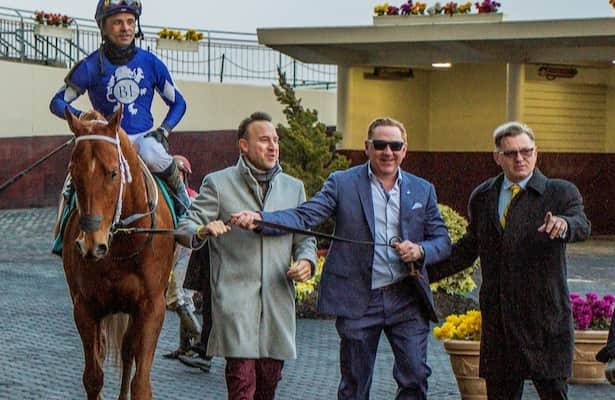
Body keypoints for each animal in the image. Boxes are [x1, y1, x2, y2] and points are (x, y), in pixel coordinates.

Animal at [62, 107, 176, 400]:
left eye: (113, 173)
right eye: (73, 174)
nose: (91, 244)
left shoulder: (152, 307)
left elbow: (141, 383)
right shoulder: (85, 306)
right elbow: (93, 377)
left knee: (127, 351)